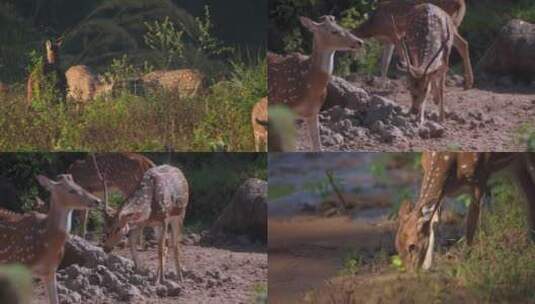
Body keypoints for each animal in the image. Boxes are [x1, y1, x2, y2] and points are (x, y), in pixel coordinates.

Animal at [0, 173, 102, 304]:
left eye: (79, 185)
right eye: (71, 190)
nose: (97, 201)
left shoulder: (51, 270)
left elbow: (54, 299)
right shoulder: (21, 265)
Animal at [268, 15, 364, 151]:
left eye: (341, 26)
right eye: (334, 31)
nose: (359, 42)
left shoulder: (313, 111)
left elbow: (317, 146)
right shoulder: (285, 108)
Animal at [398, 152, 535, 270]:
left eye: (412, 246)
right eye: (397, 246)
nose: (412, 272)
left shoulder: (480, 178)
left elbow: (471, 222)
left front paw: (465, 260)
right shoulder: (443, 191)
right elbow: (434, 221)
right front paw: (428, 266)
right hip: (515, 164)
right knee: (528, 191)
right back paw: (530, 240)